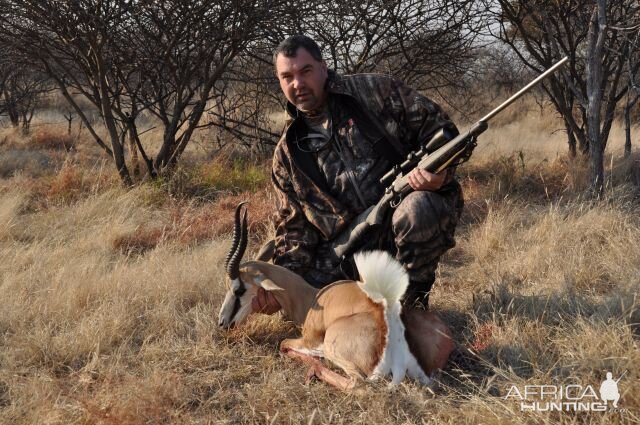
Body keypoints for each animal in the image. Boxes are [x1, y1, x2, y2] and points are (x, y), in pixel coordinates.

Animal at [218, 204, 452, 390]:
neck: (312, 298)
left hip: (336, 349)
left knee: (357, 384)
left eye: (239, 289)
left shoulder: (308, 339)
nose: (222, 322)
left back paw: (316, 370)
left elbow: (283, 344)